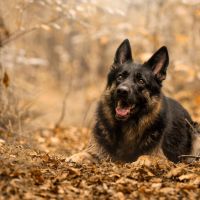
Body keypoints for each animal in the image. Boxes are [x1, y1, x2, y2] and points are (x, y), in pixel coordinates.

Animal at [66, 39, 200, 164]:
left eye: (141, 81)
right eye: (120, 77)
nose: (122, 91)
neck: (127, 127)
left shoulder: (164, 158)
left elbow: (146, 156)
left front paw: (142, 160)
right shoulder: (98, 150)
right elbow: (85, 153)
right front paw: (76, 157)